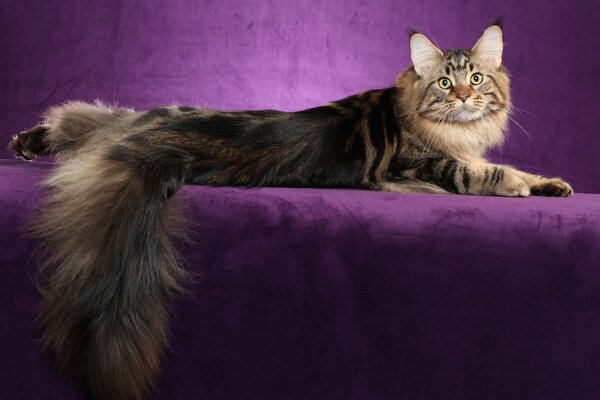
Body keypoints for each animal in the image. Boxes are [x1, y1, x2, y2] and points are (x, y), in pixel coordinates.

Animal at [8, 22, 572, 400]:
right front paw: (518, 186)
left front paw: (552, 184)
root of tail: (141, 135)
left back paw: (28, 142)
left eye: (477, 79)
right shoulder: (421, 166)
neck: (449, 129)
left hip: (120, 122)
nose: (464, 99)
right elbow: (484, 174)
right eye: (445, 84)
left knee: (76, 120)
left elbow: (518, 168)